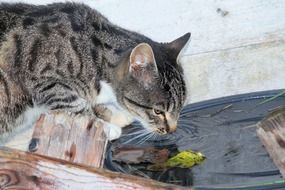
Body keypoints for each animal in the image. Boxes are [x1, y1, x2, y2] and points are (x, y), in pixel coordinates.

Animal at [0, 1, 191, 147]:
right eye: (158, 112)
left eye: (181, 107)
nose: (172, 130)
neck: (94, 56)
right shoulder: (43, 79)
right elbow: (76, 104)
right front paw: (106, 127)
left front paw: (114, 114)